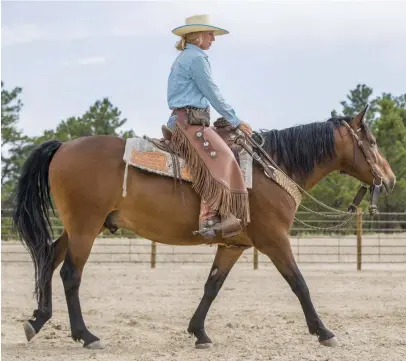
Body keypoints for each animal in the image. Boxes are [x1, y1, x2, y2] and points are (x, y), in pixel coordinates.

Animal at [12, 107, 396, 348]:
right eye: (372, 142)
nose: (390, 180)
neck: (272, 168)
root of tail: (63, 146)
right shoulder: (275, 240)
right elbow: (299, 283)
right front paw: (323, 331)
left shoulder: (233, 245)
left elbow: (212, 286)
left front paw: (198, 332)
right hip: (85, 227)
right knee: (70, 274)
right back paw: (85, 335)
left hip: (77, 228)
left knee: (48, 259)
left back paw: (37, 319)